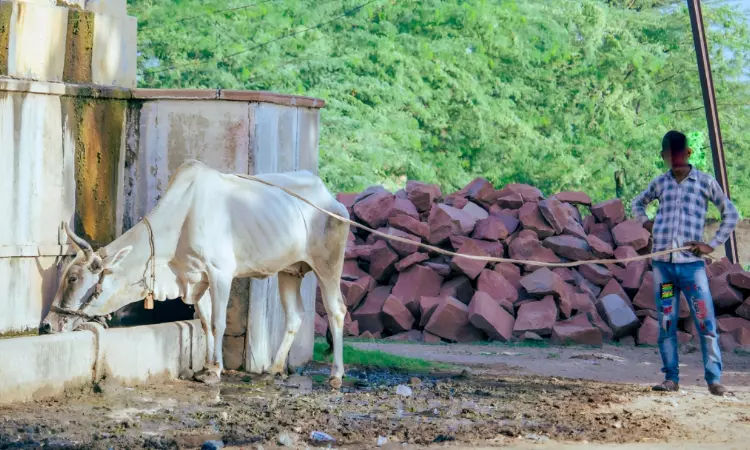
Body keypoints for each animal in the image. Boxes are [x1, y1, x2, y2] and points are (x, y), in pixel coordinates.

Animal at [39, 160, 350, 388]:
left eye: (73, 278)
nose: (47, 325)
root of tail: (331, 199)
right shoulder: (196, 279)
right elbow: (204, 321)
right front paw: (207, 367)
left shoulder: (220, 273)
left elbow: (219, 323)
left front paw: (216, 370)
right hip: (289, 272)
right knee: (295, 315)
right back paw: (274, 368)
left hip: (328, 265)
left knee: (336, 311)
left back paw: (336, 375)